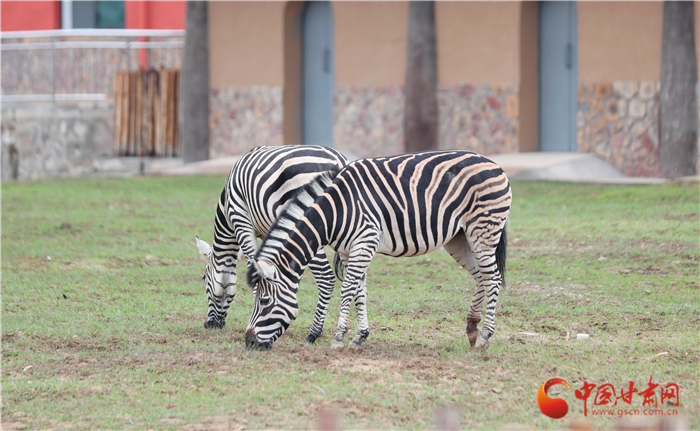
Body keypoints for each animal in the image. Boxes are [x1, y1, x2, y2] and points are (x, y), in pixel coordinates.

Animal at [194, 146, 348, 344]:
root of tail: (337, 159)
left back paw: (313, 333)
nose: (209, 325)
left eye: (204, 278)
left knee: (326, 277)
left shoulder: (241, 221)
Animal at [243, 151, 512, 352]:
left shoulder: (365, 242)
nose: (249, 342)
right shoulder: (350, 251)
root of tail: (493, 163)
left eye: (264, 301)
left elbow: (347, 290)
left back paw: (485, 337)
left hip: (483, 231)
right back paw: (472, 329)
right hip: (459, 238)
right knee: (481, 278)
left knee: (493, 279)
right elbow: (359, 292)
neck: (336, 212)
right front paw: (359, 337)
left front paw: (338, 339)